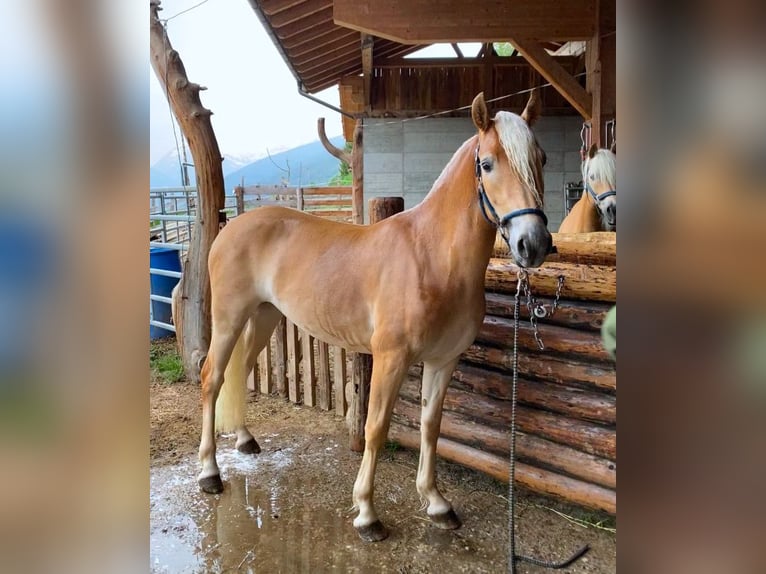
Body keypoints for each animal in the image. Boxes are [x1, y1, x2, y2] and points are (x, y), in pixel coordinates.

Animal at [196, 92, 552, 544]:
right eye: (487, 164)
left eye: (541, 158)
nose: (533, 244)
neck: (432, 259)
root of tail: (231, 225)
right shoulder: (390, 358)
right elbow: (376, 427)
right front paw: (367, 513)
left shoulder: (443, 360)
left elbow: (431, 426)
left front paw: (437, 503)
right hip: (229, 318)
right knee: (212, 378)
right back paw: (209, 473)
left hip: (264, 317)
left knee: (239, 371)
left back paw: (244, 440)